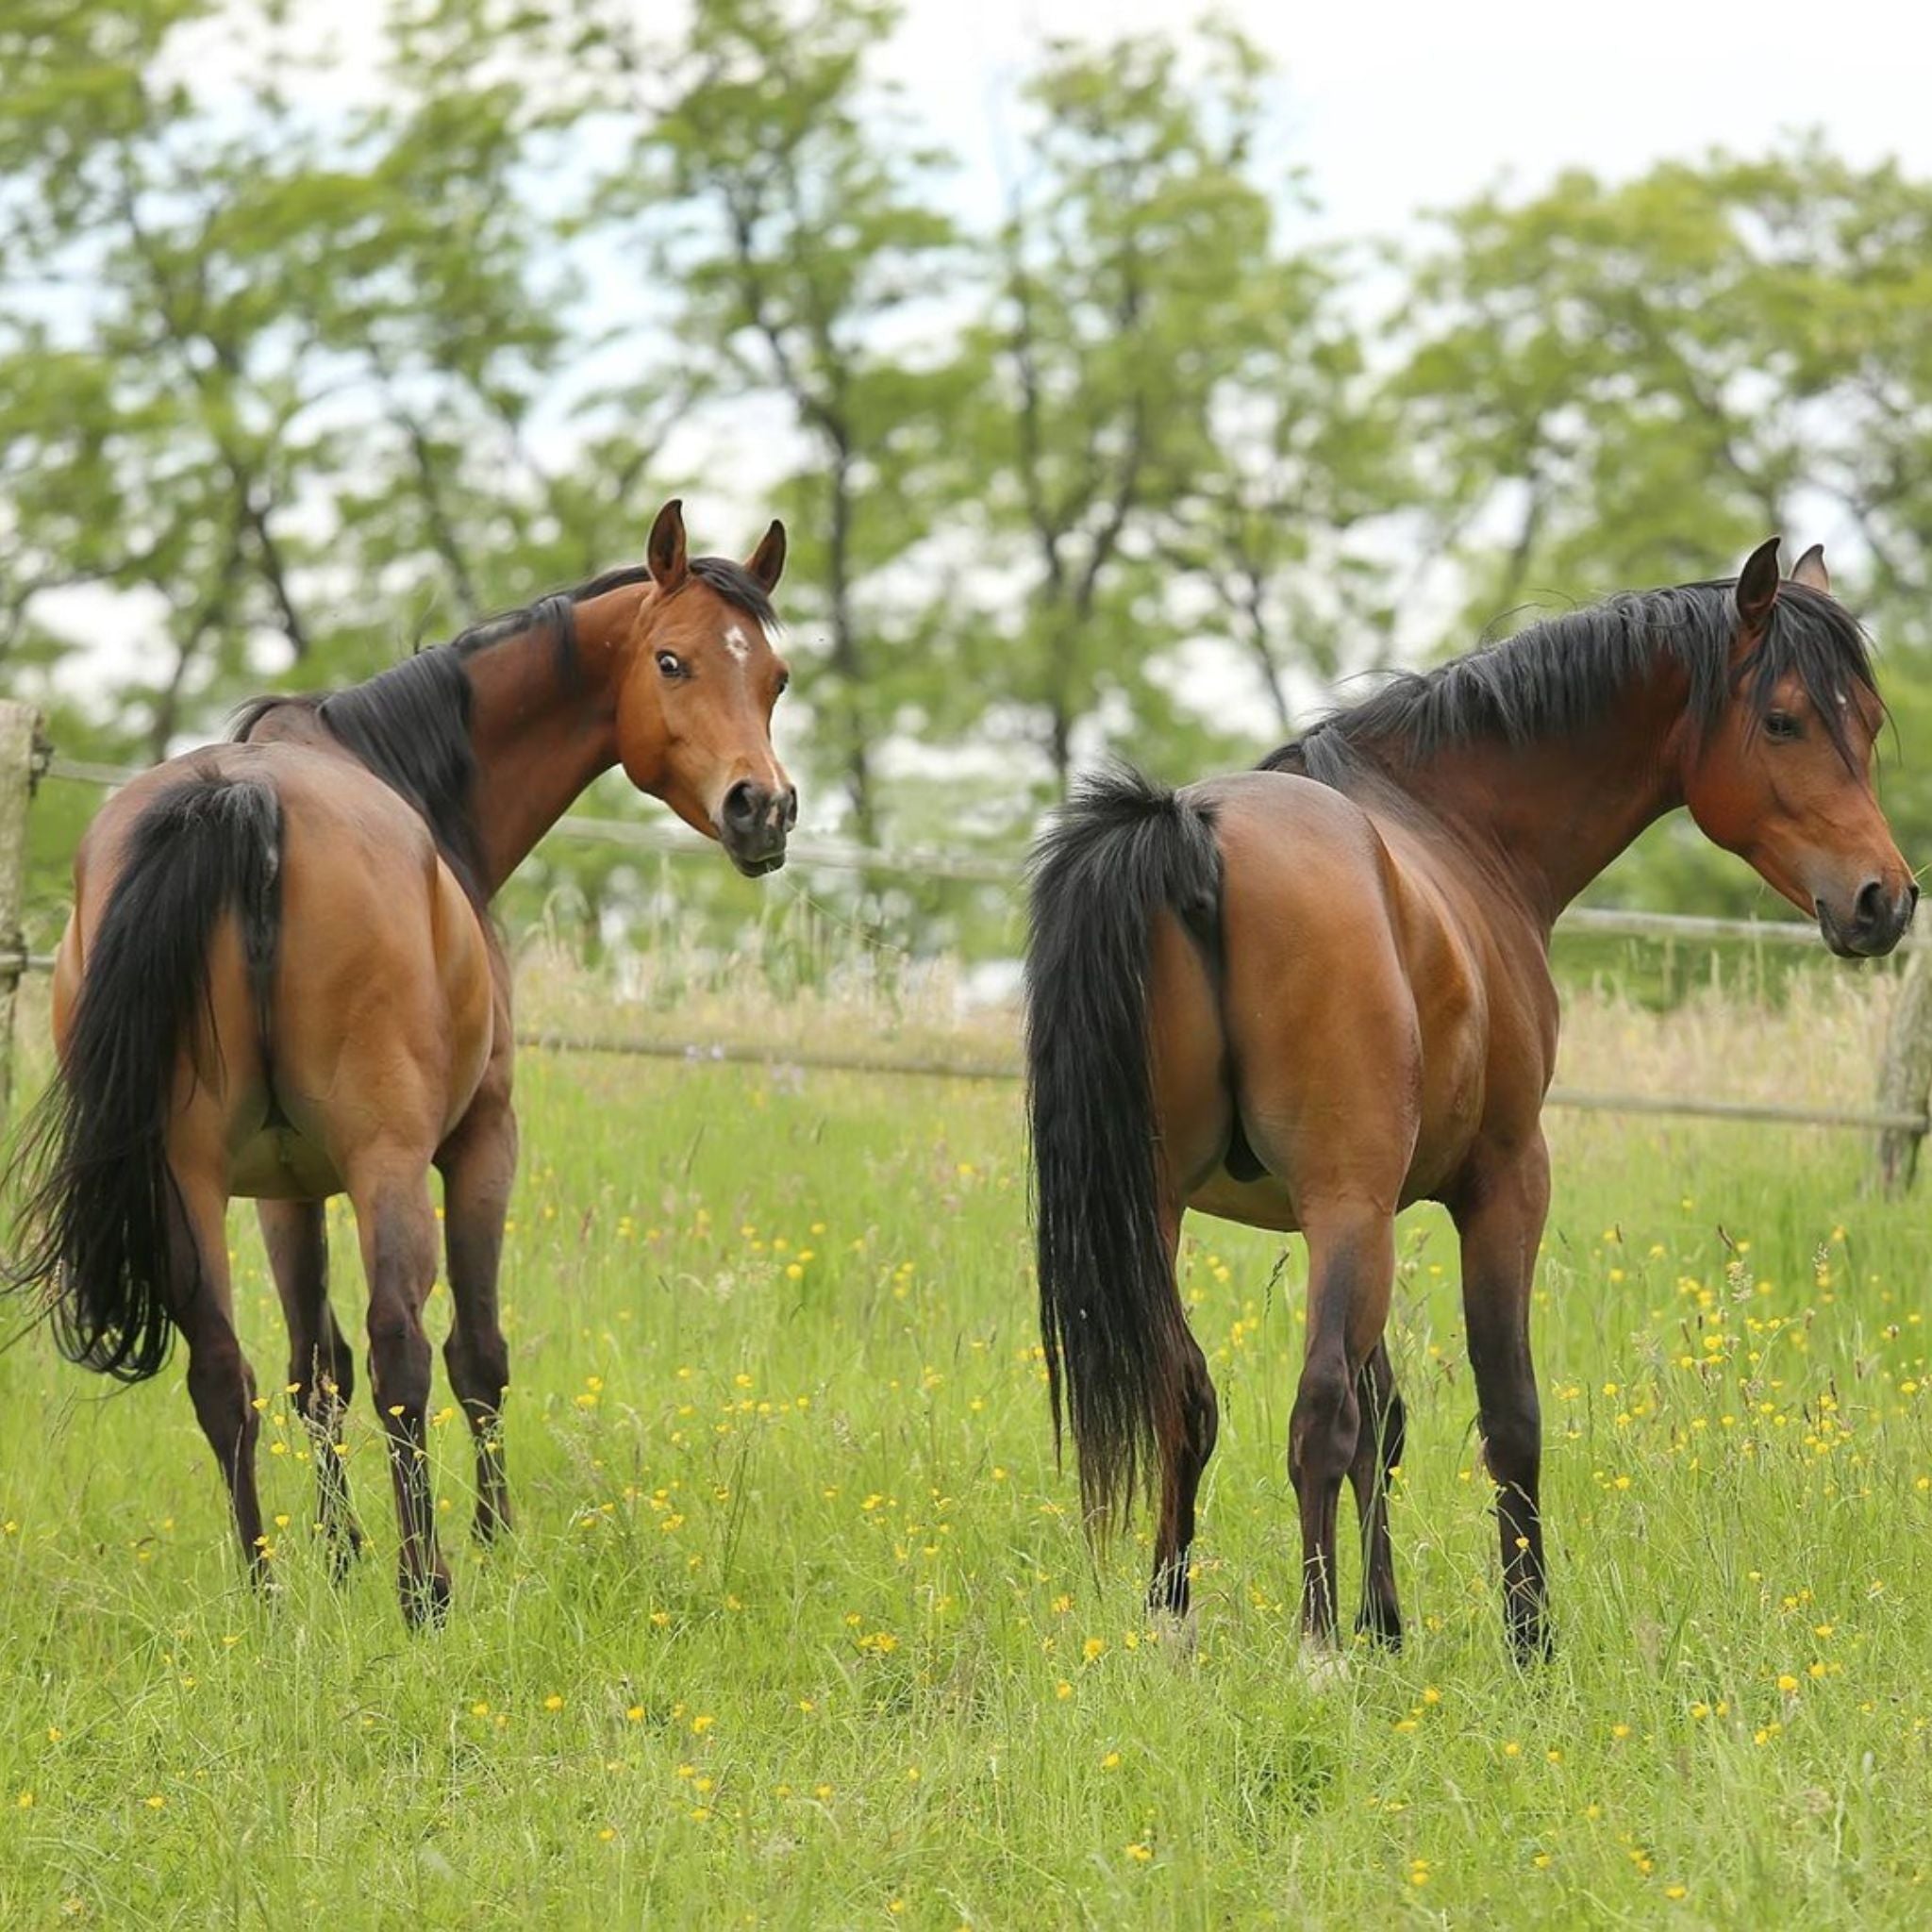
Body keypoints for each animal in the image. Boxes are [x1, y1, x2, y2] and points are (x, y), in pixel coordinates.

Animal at [6, 506, 791, 1623]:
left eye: (774, 676)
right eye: (672, 660)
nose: (762, 809)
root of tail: (240, 806)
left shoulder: (285, 1190)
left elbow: (310, 1367)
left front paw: (337, 1554)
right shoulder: (481, 1140)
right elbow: (474, 1355)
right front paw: (492, 1540)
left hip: (185, 1177)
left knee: (227, 1372)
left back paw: (266, 1592)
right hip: (388, 1163)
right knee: (401, 1351)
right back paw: (426, 1588)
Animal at [1027, 541, 1916, 1661]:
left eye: (1868, 721)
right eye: (1785, 720)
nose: (1884, 900)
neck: (1452, 821)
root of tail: (1193, 836)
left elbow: (1387, 1417)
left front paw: (1387, 1625)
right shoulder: (1499, 1183)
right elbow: (1507, 1414)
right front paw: (1526, 1638)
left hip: (1167, 1207)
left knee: (1185, 1394)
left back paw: (1175, 1624)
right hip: (1342, 1206)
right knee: (1314, 1414)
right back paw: (1315, 1650)